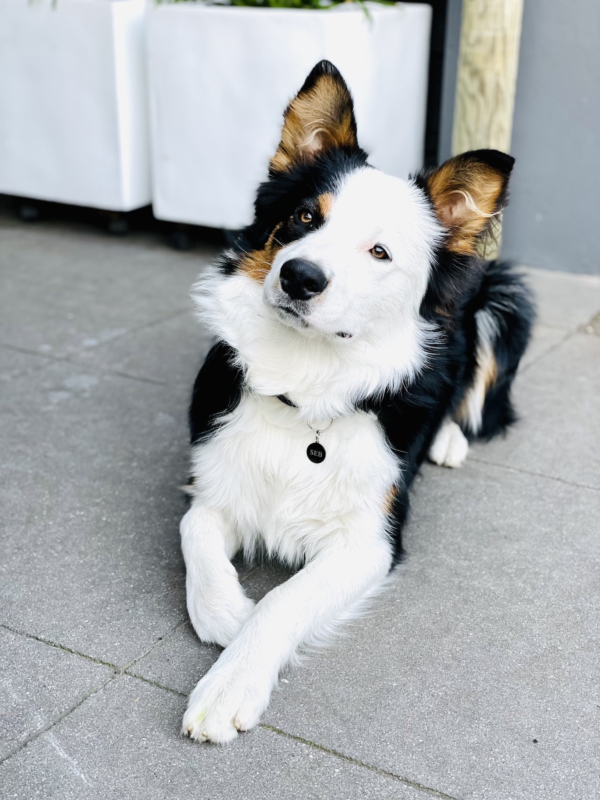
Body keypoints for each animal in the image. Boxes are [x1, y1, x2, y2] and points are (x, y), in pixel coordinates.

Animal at [179, 57, 536, 744]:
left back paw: (449, 440)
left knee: (475, 394)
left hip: (503, 301)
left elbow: (282, 601)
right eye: (303, 219)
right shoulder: (214, 481)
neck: (305, 385)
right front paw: (227, 612)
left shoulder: (371, 538)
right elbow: (194, 533)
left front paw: (230, 681)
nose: (299, 277)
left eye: (379, 252)